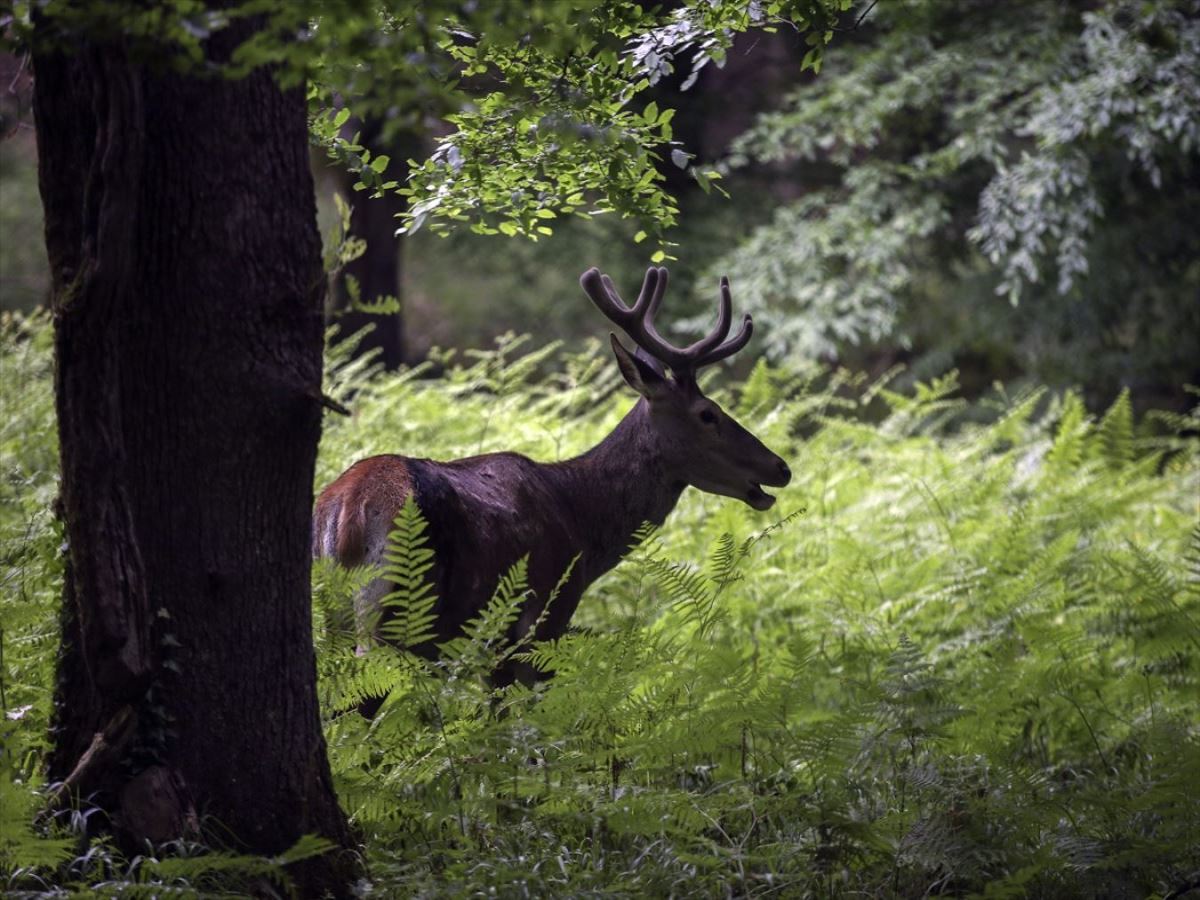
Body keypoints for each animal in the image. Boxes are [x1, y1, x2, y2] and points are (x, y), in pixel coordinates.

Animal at [314, 266, 792, 691]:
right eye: (708, 414)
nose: (780, 467)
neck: (581, 521)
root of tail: (346, 513)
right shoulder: (543, 621)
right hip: (395, 607)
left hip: (333, 614)